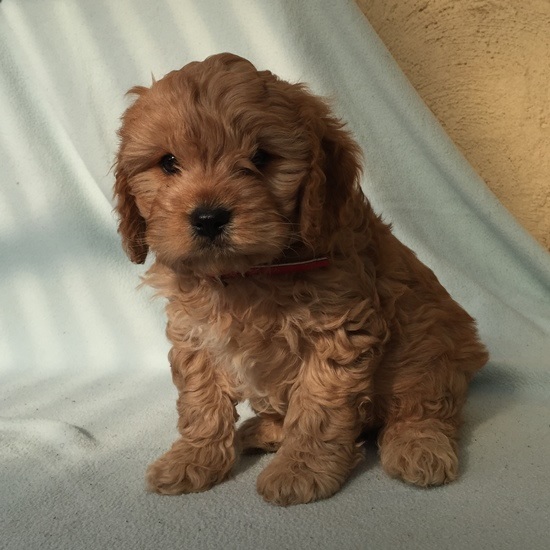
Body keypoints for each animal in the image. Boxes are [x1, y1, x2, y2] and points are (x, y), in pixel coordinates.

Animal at [114, 54, 490, 506]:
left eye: (261, 157)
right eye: (168, 163)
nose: (208, 218)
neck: (246, 275)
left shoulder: (338, 334)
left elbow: (318, 410)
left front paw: (300, 470)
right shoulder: (196, 334)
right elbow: (201, 401)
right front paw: (192, 459)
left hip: (432, 347)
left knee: (426, 407)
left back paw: (419, 447)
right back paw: (263, 431)